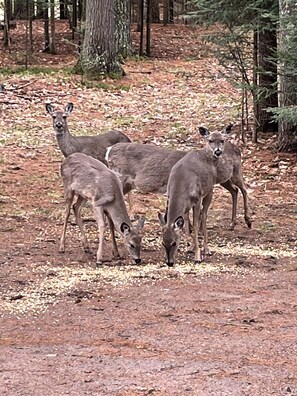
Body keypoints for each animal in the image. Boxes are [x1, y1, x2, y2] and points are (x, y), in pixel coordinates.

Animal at [105, 125, 251, 230]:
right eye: (210, 140)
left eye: (222, 140)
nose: (218, 151)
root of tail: (109, 151)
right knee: (240, 189)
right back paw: (245, 221)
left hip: (231, 175)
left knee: (238, 190)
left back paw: (238, 223)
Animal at [157, 127, 247, 266]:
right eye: (163, 243)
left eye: (174, 243)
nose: (169, 262)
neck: (180, 184)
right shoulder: (183, 203)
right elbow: (186, 221)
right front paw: (190, 246)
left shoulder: (197, 198)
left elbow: (195, 223)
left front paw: (197, 255)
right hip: (223, 181)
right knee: (234, 190)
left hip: (214, 186)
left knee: (206, 213)